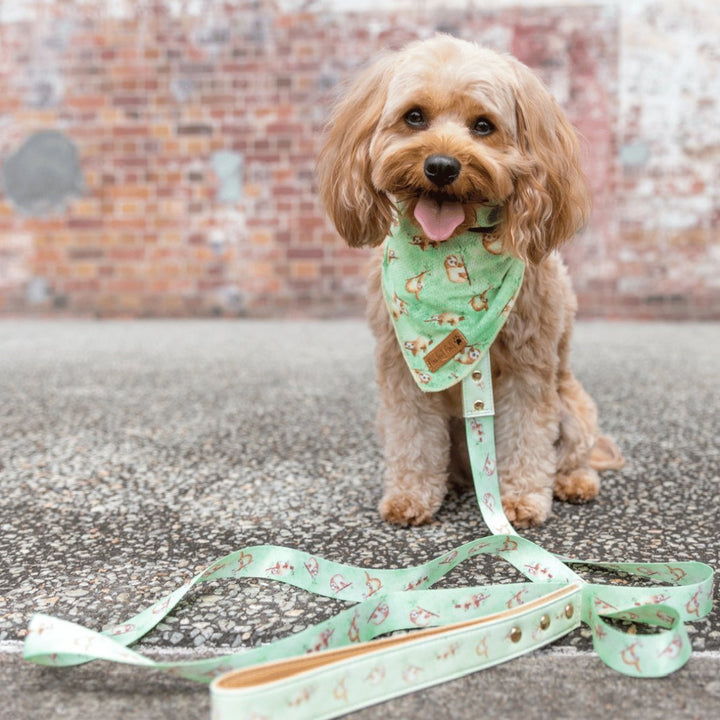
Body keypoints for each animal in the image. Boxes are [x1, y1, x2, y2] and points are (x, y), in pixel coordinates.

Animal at [318, 35, 620, 528]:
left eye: (483, 125)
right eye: (414, 116)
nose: (441, 166)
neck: (451, 253)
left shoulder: (529, 368)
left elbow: (527, 437)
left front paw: (521, 500)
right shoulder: (401, 370)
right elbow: (413, 439)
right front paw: (410, 496)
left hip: (574, 406)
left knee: (575, 454)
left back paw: (573, 482)